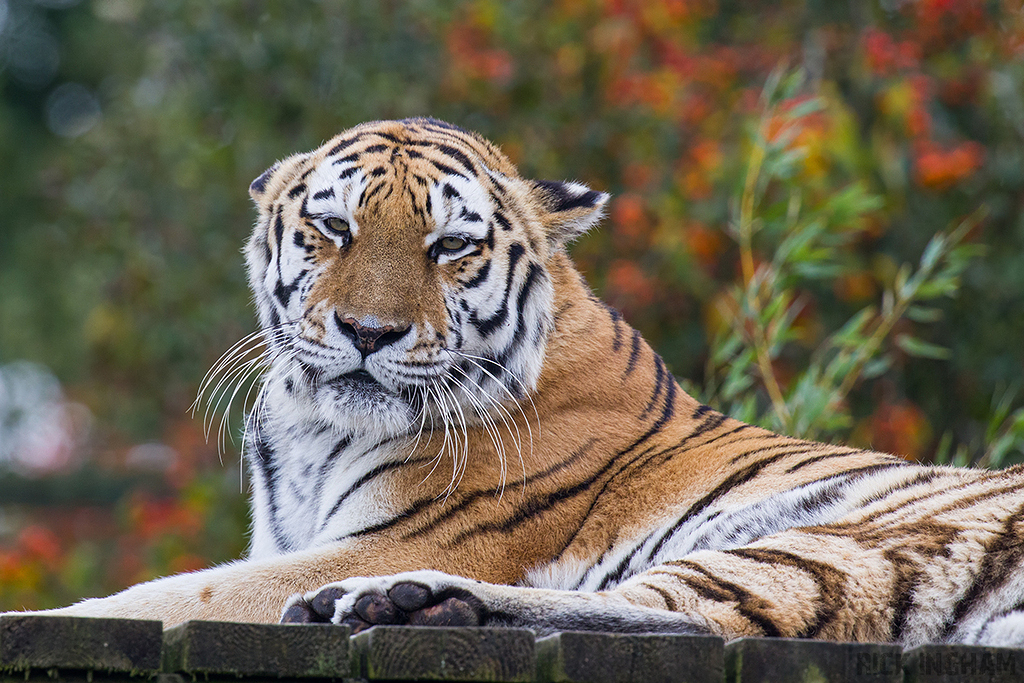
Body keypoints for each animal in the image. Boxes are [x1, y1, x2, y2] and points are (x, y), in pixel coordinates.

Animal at [25, 117, 1024, 649]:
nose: (367, 332)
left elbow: (167, 595)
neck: (314, 431)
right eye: (334, 229)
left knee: (711, 619)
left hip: (849, 536)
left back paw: (395, 599)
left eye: (450, 246)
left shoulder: (383, 536)